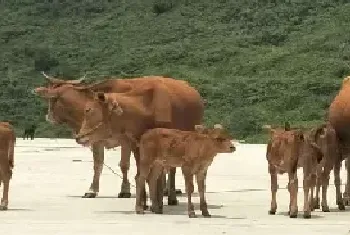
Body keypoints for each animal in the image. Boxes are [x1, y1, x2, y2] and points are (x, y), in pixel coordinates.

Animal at [75, 78, 204, 206]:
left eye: (88, 110)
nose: (79, 136)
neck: (147, 109)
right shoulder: (137, 146)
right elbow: (141, 174)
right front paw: (143, 202)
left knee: (172, 170)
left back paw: (172, 198)